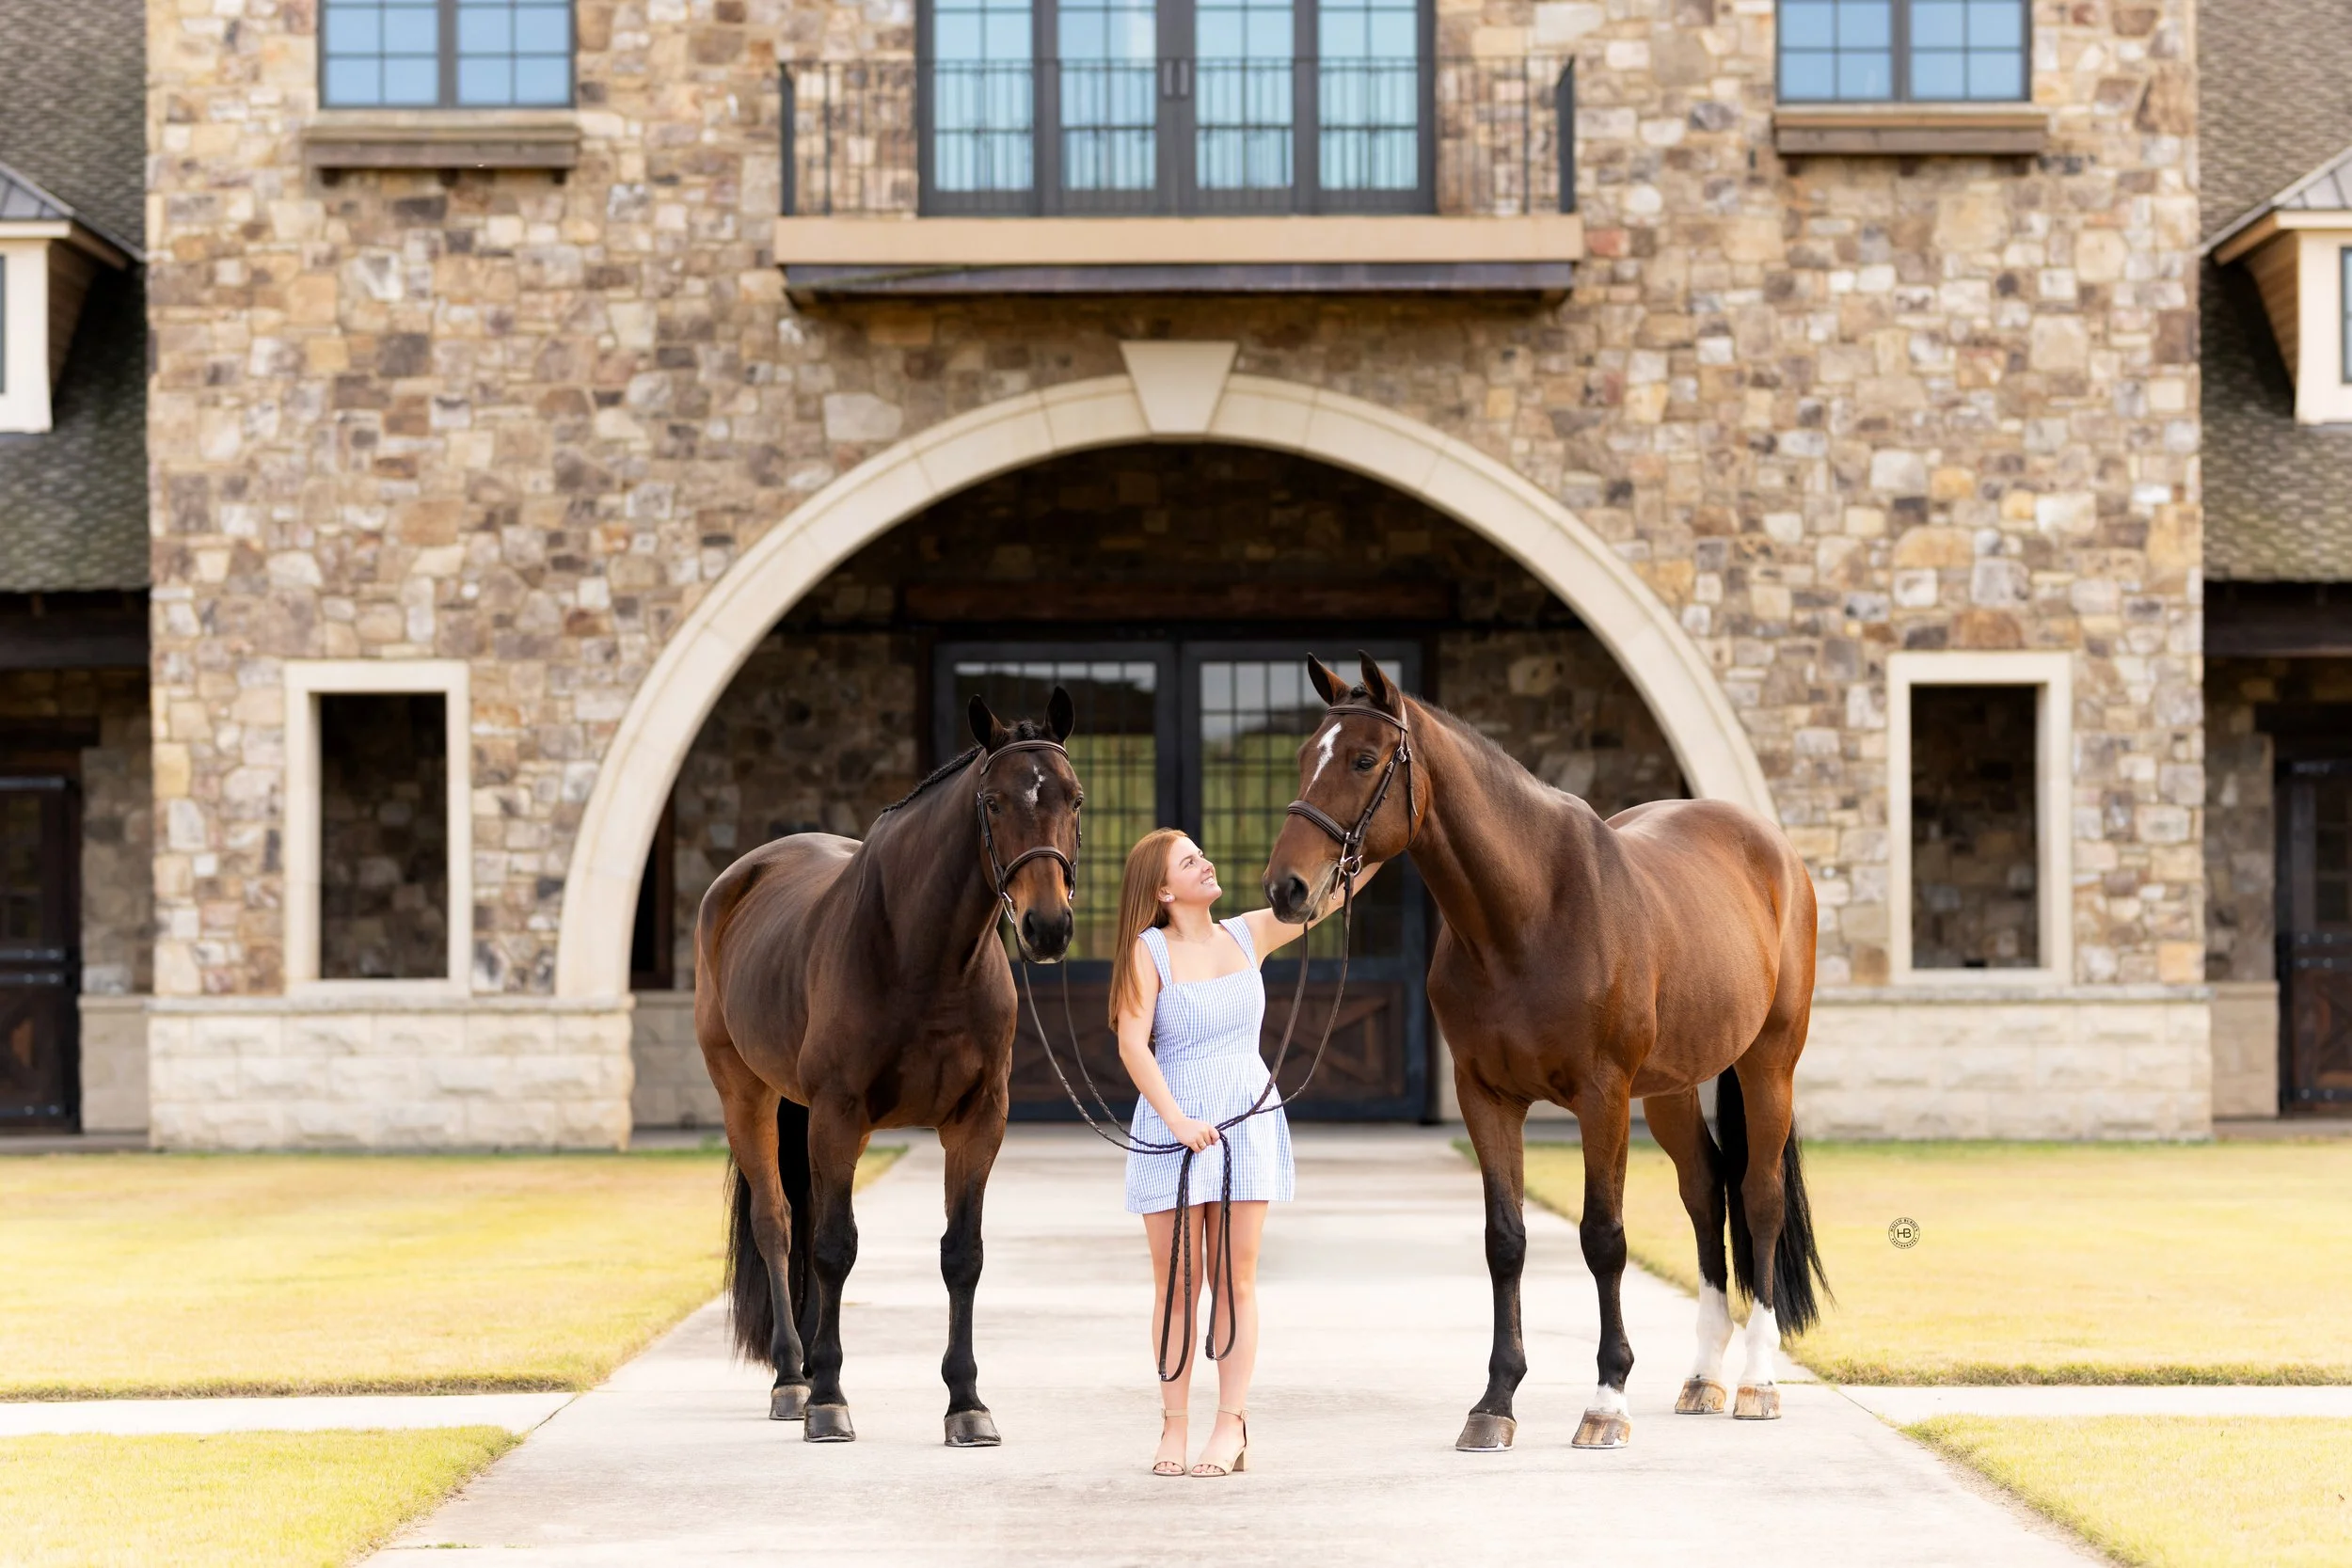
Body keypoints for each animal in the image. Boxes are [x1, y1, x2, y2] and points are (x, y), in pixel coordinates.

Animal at [694, 690, 1083, 1445]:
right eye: (993, 802)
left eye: (1074, 798)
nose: (1047, 927)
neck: (922, 956)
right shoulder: (840, 1115)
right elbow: (833, 1247)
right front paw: (828, 1400)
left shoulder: (978, 1120)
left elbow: (963, 1253)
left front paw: (967, 1402)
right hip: (745, 1094)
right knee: (777, 1224)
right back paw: (792, 1378)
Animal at [1263, 655, 1827, 1451]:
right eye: (1305, 754)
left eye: (1364, 759)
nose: (1286, 888)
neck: (1526, 916)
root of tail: (1772, 849)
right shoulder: (1486, 1096)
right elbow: (1506, 1239)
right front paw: (1494, 1402)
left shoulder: (1602, 1095)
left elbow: (1603, 1237)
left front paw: (1607, 1400)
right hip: (1672, 1087)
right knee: (1704, 1188)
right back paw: (1703, 1376)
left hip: (1767, 1063)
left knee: (1760, 1195)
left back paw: (1757, 1381)